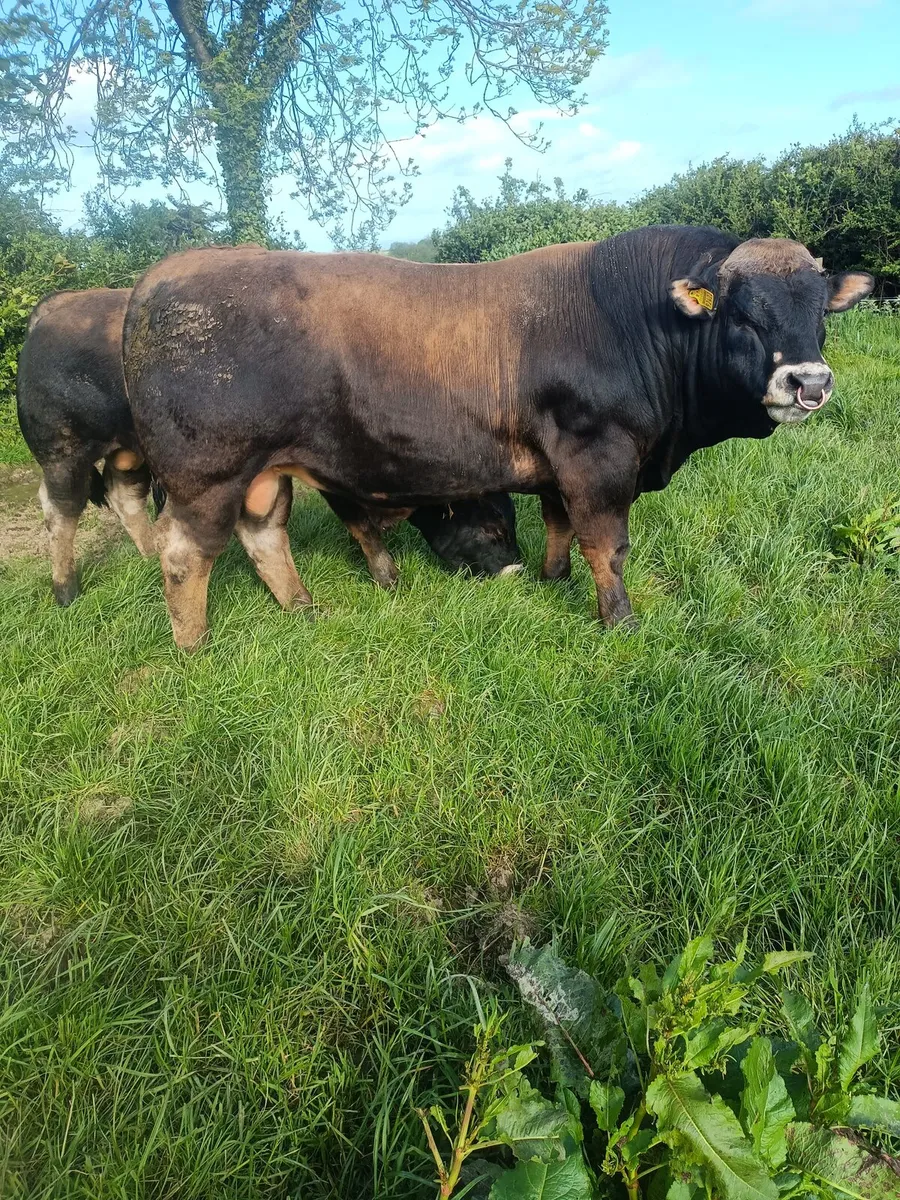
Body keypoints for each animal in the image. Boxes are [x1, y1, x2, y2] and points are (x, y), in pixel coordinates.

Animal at [17, 286, 520, 605]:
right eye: (493, 527)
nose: (515, 572)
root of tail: (58, 304)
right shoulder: (334, 471)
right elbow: (361, 525)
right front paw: (388, 579)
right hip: (63, 448)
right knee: (60, 510)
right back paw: (66, 591)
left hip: (129, 452)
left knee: (124, 495)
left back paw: (144, 558)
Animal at [121, 227, 873, 648]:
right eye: (744, 315)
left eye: (820, 312)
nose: (809, 383)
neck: (627, 316)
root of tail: (161, 275)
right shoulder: (598, 455)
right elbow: (608, 545)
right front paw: (619, 623)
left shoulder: (558, 464)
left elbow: (560, 527)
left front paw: (552, 579)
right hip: (207, 474)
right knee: (185, 557)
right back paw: (193, 647)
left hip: (266, 473)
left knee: (263, 537)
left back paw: (305, 610)